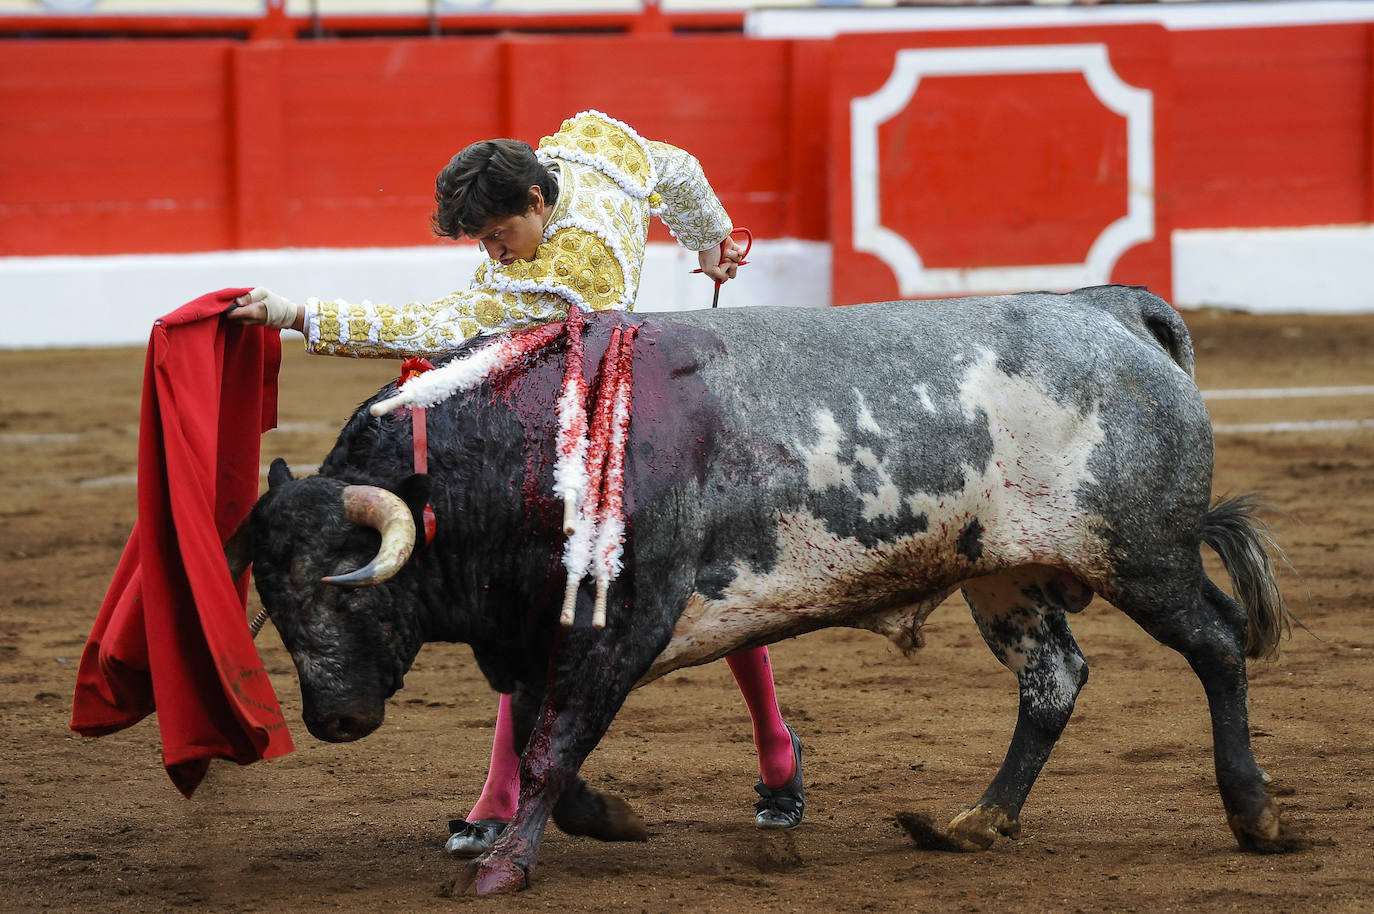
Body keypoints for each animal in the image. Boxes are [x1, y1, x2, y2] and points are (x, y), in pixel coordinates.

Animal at [230, 285, 1291, 890]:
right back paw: (976, 823)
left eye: (352, 590)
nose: (332, 720)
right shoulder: (538, 639)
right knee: (1053, 681)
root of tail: (1111, 312)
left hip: (1141, 554)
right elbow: (542, 745)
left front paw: (502, 868)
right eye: (275, 607)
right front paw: (598, 822)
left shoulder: (617, 627)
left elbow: (554, 743)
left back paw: (1256, 814)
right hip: (1005, 575)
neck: (514, 454)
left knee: (1218, 644)